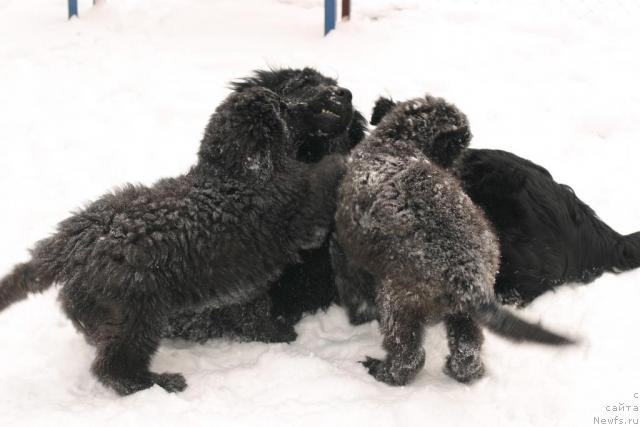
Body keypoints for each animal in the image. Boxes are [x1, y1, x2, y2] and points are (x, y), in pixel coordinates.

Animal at [0, 88, 348, 398]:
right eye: (284, 111)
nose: (312, 104)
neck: (234, 175)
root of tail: (71, 241)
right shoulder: (299, 213)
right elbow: (321, 176)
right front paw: (345, 158)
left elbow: (252, 309)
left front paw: (267, 331)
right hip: (138, 309)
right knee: (114, 367)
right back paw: (156, 384)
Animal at [336, 94, 576, 388]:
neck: (399, 142)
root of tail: (465, 274)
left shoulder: (349, 250)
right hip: (464, 312)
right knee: (467, 350)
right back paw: (463, 371)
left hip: (398, 301)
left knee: (409, 355)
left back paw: (383, 371)